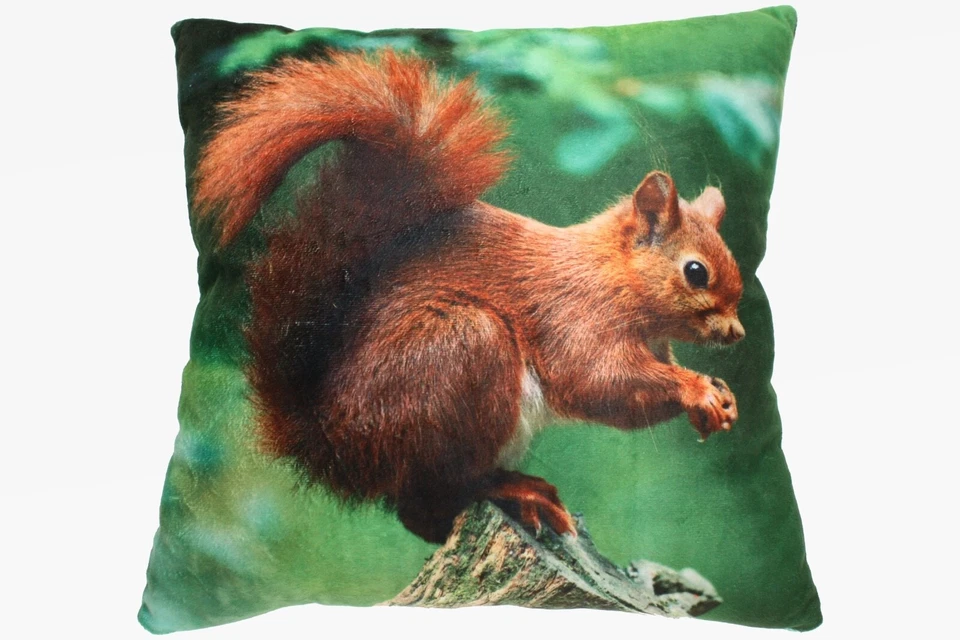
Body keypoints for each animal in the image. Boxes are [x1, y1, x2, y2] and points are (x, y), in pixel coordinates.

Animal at [193, 50, 745, 544]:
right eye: (696, 272)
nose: (738, 333)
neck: (613, 275)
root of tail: (334, 444)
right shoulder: (574, 316)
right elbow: (598, 380)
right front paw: (696, 389)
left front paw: (719, 395)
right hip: (460, 351)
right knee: (428, 499)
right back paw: (512, 490)